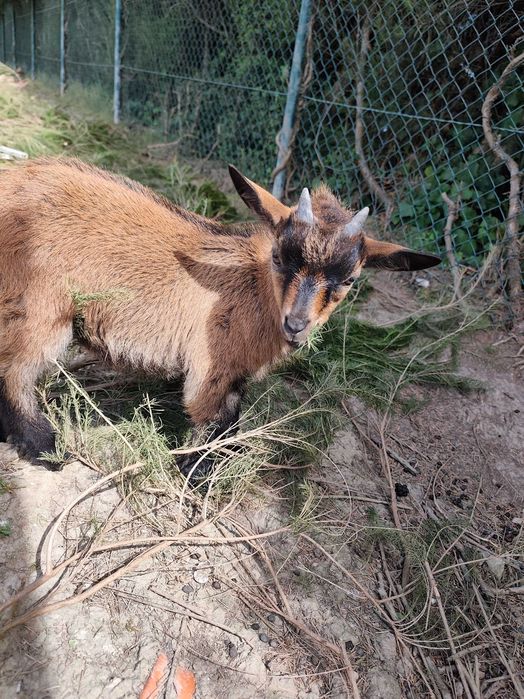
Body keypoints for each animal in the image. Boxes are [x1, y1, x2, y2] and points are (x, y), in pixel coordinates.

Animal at [0, 158, 440, 476]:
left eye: (349, 280)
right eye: (279, 257)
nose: (296, 325)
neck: (255, 289)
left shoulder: (237, 376)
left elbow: (232, 421)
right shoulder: (213, 365)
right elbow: (210, 421)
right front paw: (197, 476)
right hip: (38, 307)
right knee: (15, 370)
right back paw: (46, 447)